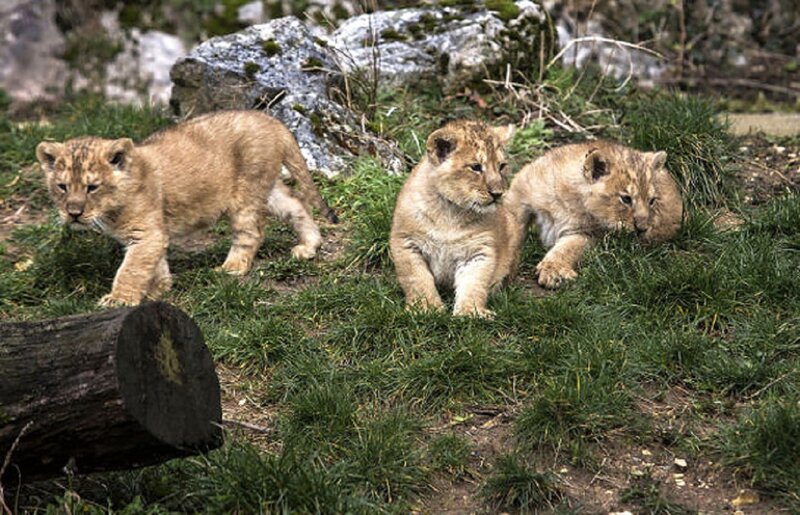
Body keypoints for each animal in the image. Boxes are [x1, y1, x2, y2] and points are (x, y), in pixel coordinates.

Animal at [35, 110, 338, 306]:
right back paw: (309, 246)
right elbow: (154, 265)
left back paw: (231, 268)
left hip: (246, 191)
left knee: (251, 233)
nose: (73, 213)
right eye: (62, 187)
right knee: (296, 204)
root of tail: (274, 122)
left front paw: (119, 301)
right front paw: (159, 291)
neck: (110, 210)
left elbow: (131, 270)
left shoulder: (146, 234)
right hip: (267, 186)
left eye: (92, 187)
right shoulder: (154, 234)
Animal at [389, 120, 517, 318]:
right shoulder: (406, 241)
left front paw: (470, 313)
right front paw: (426, 309)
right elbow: (417, 279)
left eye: (502, 166)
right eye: (476, 167)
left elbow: (474, 283)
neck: (451, 211)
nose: (497, 194)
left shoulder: (479, 250)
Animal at [504, 140, 683, 289]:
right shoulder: (518, 197)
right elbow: (510, 231)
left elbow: (567, 249)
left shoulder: (587, 234)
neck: (572, 198)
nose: (642, 229)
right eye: (626, 199)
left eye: (652, 201)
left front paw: (554, 271)